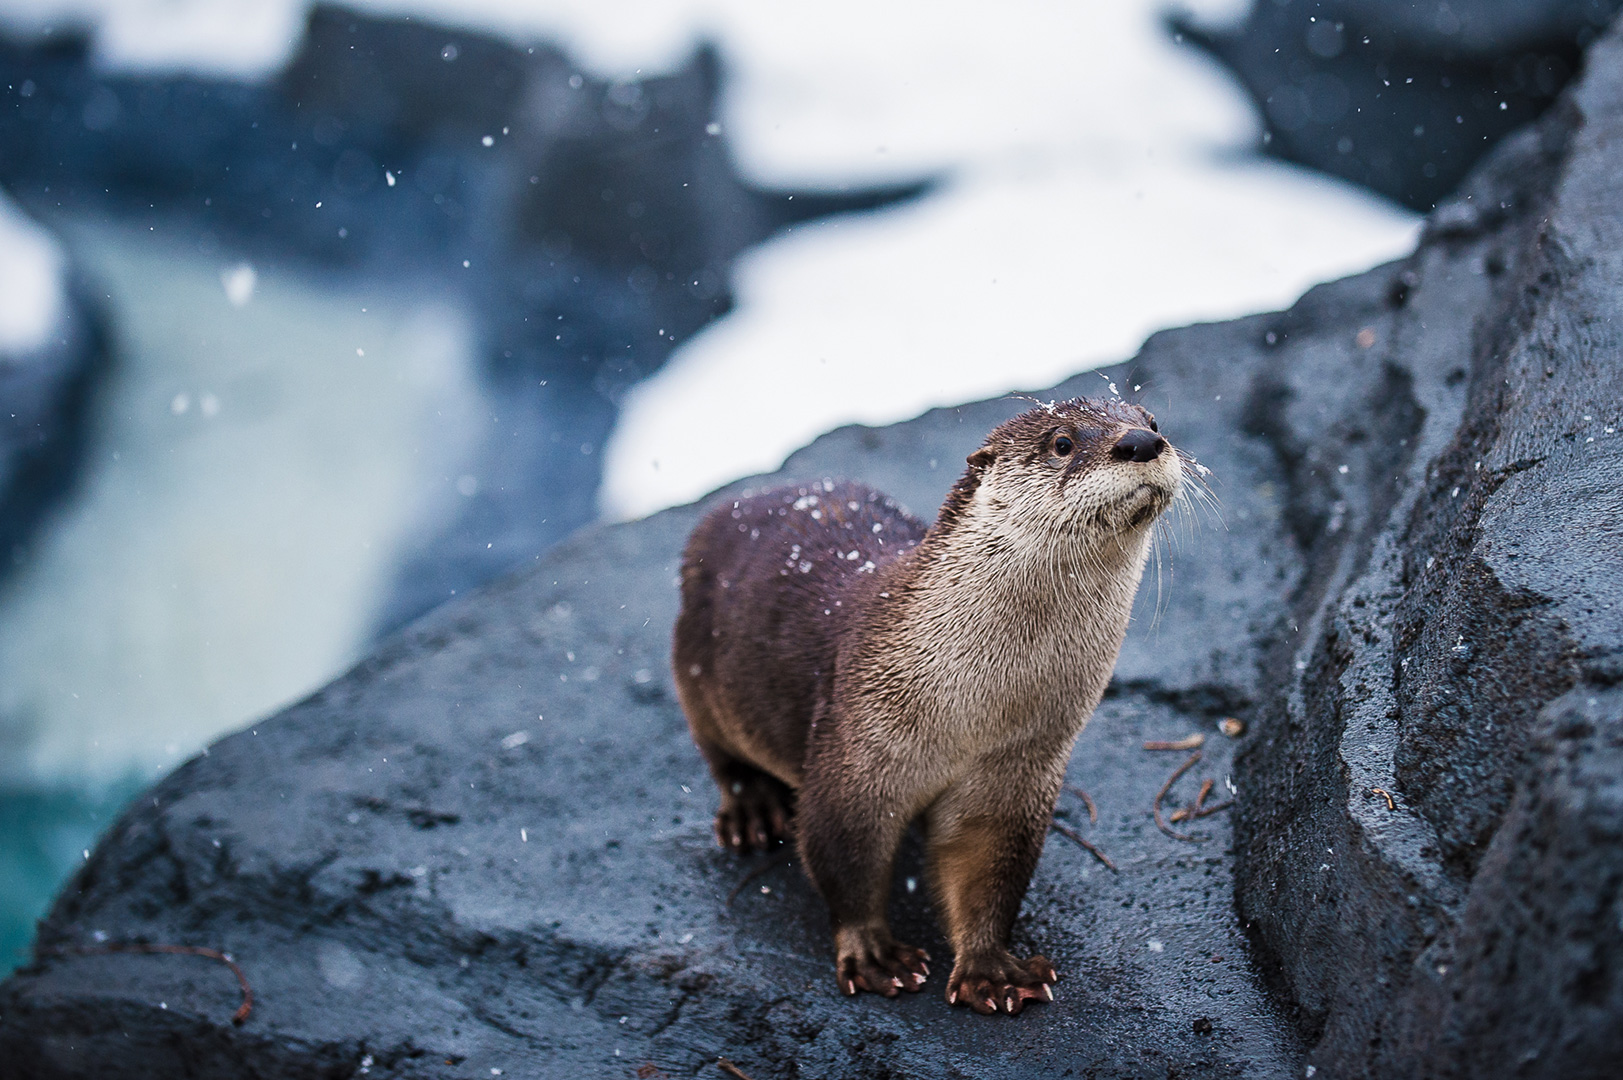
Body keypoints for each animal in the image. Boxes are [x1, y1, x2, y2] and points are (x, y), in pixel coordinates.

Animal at [671, 396, 1181, 1013]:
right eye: (1061, 442)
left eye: (1152, 421)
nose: (1141, 442)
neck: (976, 707)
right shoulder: (855, 752)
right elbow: (843, 858)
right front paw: (873, 955)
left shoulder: (1016, 771)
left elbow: (989, 875)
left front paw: (993, 970)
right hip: (696, 670)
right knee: (715, 747)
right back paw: (752, 811)